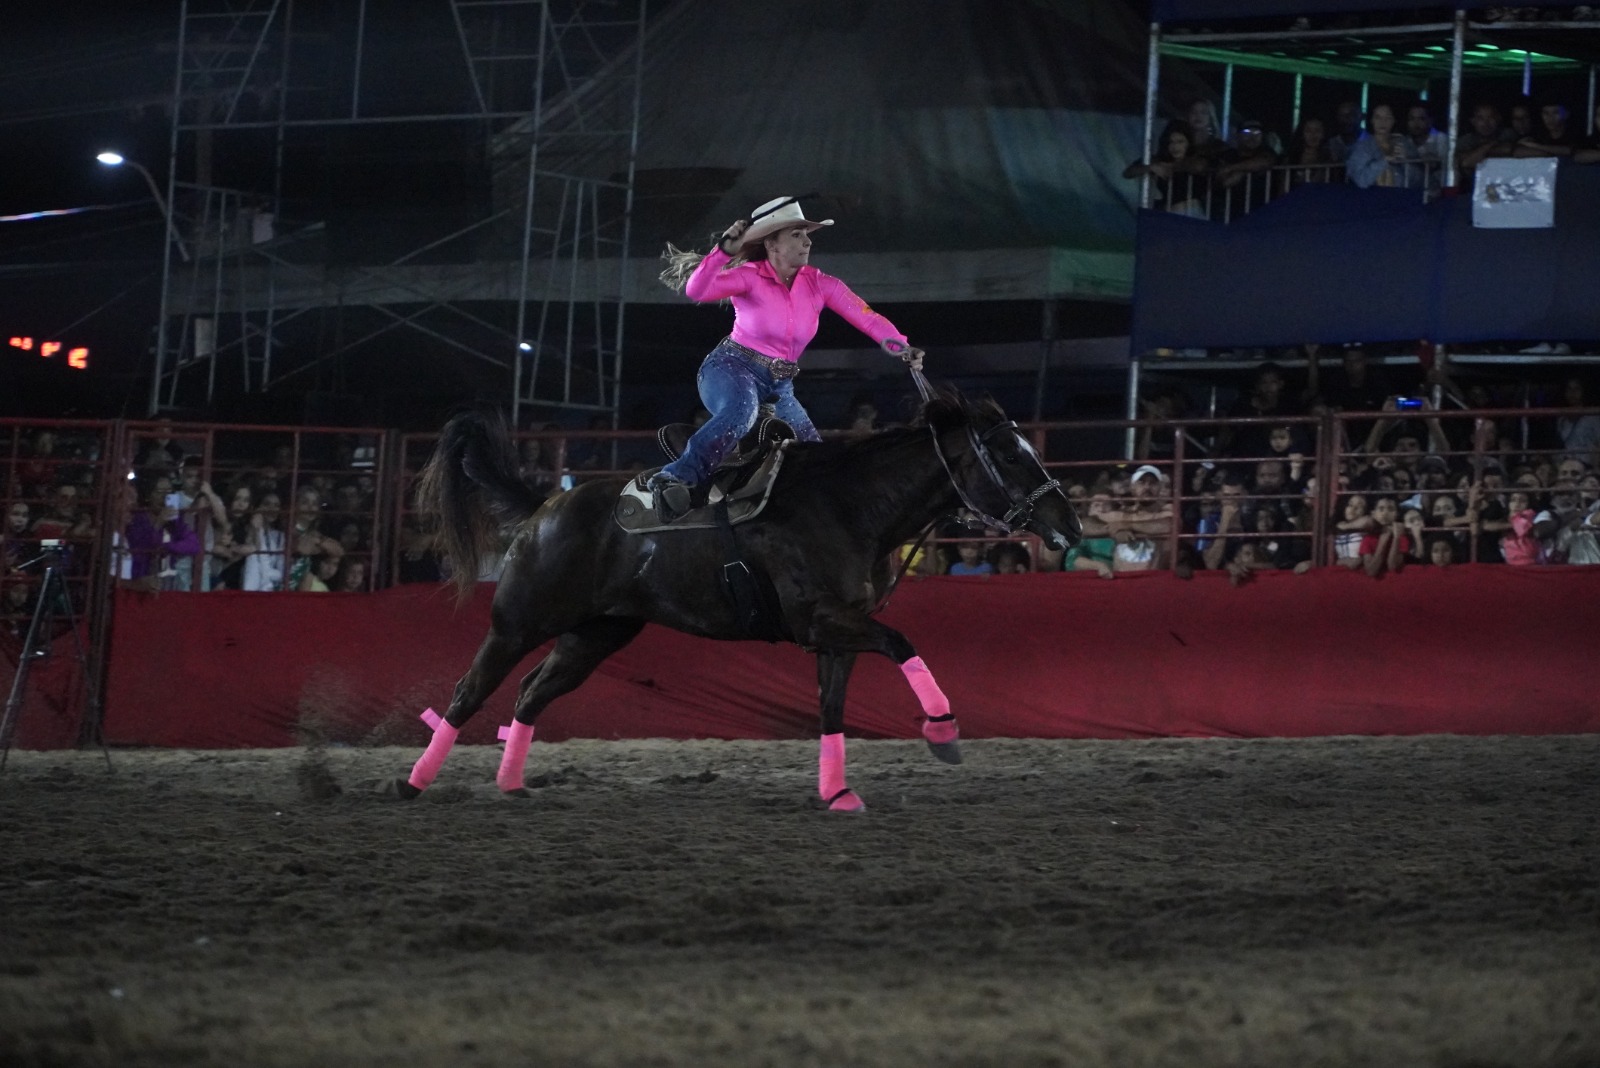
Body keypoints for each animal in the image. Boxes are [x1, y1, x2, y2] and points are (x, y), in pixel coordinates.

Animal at [400, 388, 1081, 805]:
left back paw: (511, 783)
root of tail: (545, 506)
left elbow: (832, 709)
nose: (1071, 525)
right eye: (1006, 452)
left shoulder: (837, 633)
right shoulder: (820, 620)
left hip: (596, 634)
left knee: (532, 692)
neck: (848, 503)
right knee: (470, 691)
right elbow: (901, 642)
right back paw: (413, 783)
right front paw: (943, 733)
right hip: (518, 622)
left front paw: (837, 792)